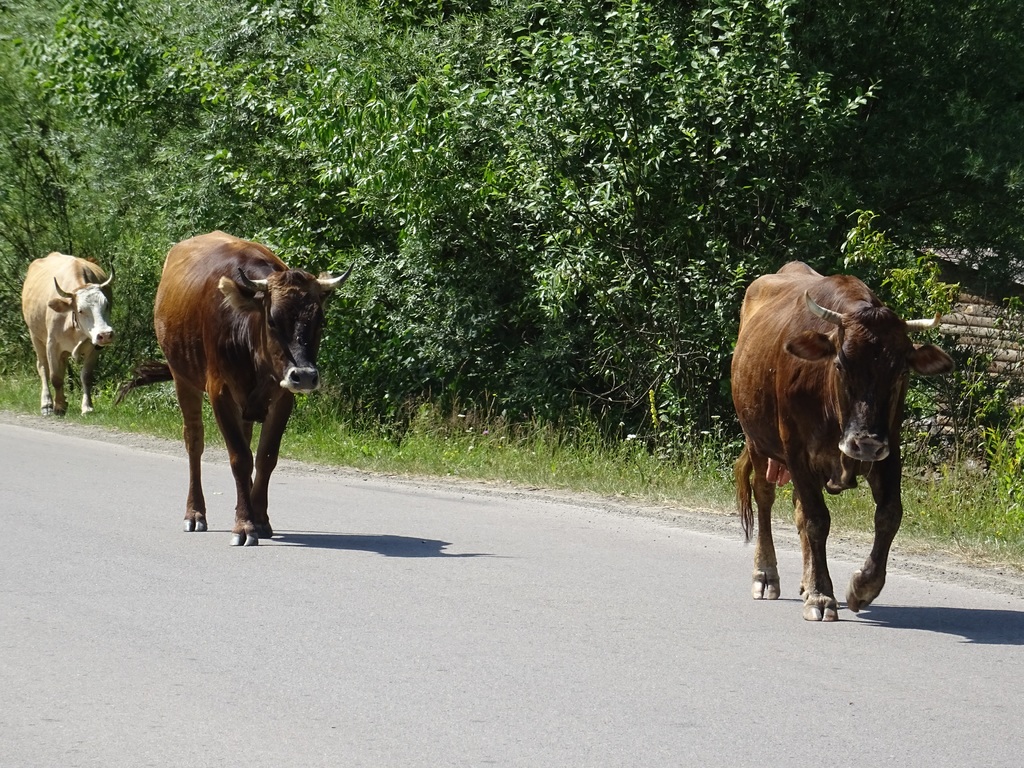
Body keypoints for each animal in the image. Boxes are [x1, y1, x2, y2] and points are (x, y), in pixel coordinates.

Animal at [21, 253, 115, 417]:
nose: (105, 334)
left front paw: (87, 407)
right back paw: (46, 404)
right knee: (43, 367)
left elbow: (86, 376)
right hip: (35, 336)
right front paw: (58, 407)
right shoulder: (52, 345)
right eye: (81, 310)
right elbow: (55, 377)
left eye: (107, 305)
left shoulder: (94, 348)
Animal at [117, 233, 352, 548]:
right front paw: (244, 525)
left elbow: (265, 457)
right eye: (272, 320)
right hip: (183, 377)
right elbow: (239, 458)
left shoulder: (282, 397)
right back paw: (195, 513)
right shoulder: (220, 392)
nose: (303, 376)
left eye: (320, 321)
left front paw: (259, 518)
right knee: (194, 442)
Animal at [733, 262, 954, 622]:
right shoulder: (796, 452)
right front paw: (822, 595)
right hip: (757, 441)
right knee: (764, 497)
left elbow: (889, 514)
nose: (865, 443)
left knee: (797, 510)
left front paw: (862, 586)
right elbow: (817, 520)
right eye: (840, 363)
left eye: (901, 373)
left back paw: (806, 580)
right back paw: (766, 575)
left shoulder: (889, 448)